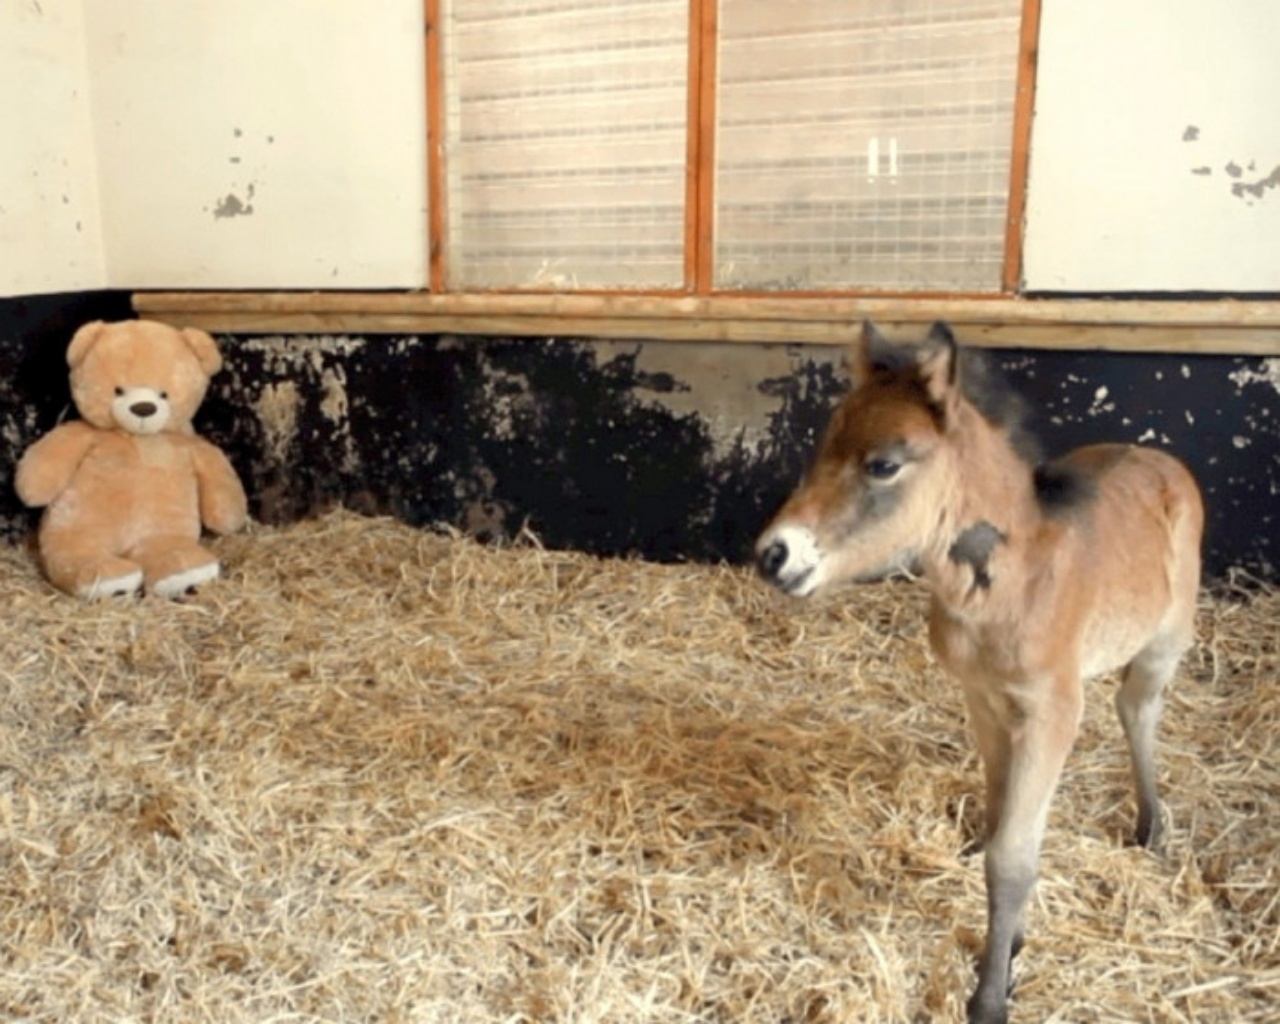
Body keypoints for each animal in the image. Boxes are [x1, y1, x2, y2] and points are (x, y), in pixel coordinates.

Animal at [752, 322, 1203, 1024]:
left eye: (884, 464)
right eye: (823, 448)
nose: (775, 554)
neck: (1010, 582)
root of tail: (1161, 459)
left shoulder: (1051, 711)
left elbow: (1012, 856)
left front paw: (991, 994)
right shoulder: (985, 701)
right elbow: (999, 825)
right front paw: (1009, 944)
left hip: (1166, 639)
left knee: (1139, 708)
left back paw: (1151, 826)